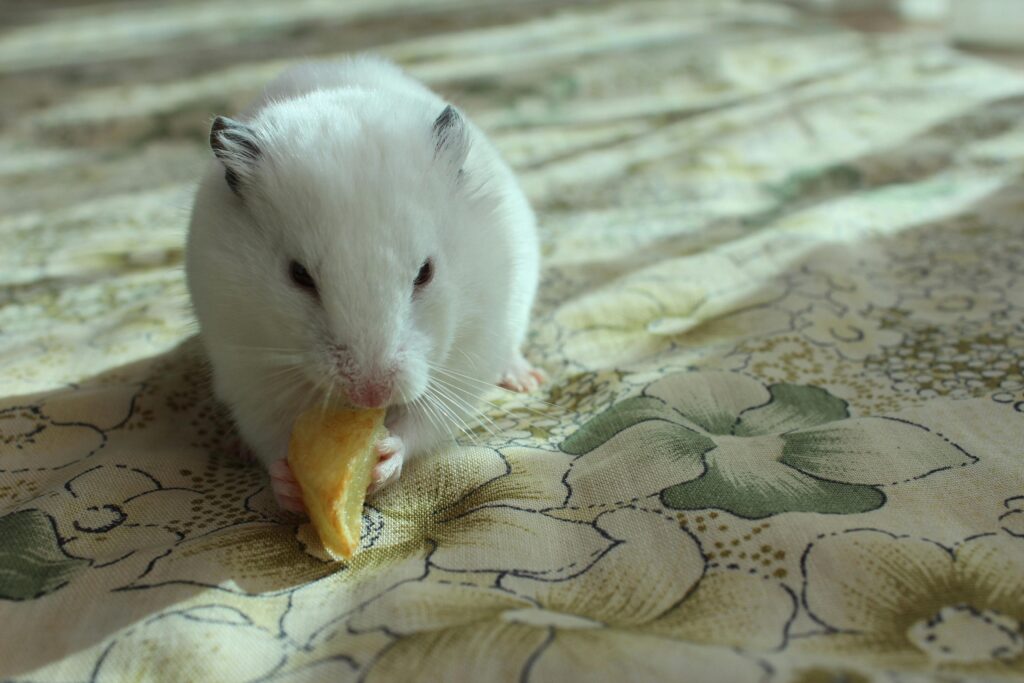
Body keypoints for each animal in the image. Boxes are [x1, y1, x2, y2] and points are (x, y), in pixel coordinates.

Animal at [184, 55, 541, 512]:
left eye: (425, 272)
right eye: (299, 275)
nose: (371, 394)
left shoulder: (468, 358)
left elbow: (424, 422)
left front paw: (385, 457)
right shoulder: (246, 370)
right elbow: (271, 434)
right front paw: (288, 484)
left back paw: (525, 379)